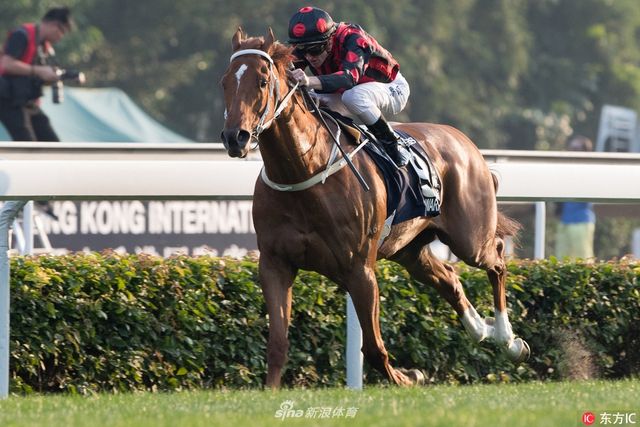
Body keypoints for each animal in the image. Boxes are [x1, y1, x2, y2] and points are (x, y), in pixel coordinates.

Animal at [220, 28, 528, 390]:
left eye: (262, 81)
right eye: (224, 81)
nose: (235, 137)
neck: (303, 169)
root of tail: (465, 142)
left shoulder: (359, 268)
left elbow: (373, 347)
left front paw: (409, 377)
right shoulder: (275, 263)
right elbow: (277, 342)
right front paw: (270, 390)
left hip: (470, 238)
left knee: (496, 257)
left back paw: (508, 340)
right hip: (409, 249)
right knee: (450, 278)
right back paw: (482, 331)